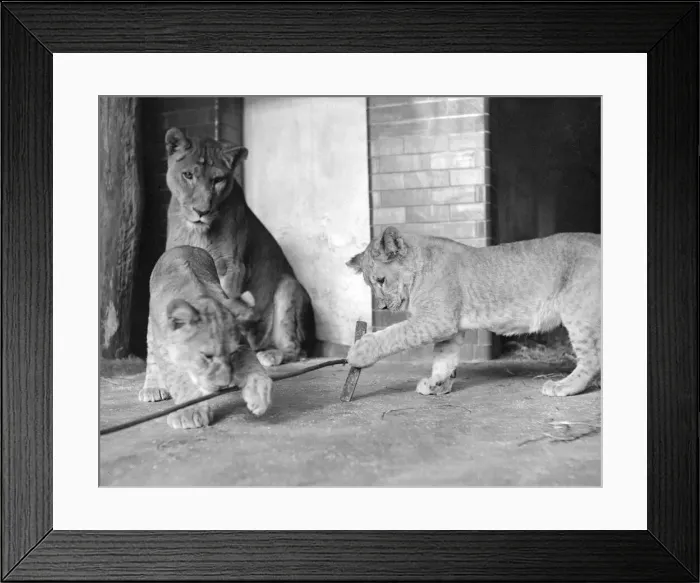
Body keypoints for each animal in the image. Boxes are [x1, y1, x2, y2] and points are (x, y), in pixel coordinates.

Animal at [139, 245, 273, 429]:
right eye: (207, 356)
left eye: (232, 354)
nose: (223, 384)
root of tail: (183, 246)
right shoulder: (166, 349)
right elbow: (180, 379)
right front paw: (191, 411)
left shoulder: (241, 341)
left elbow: (252, 364)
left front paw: (259, 393)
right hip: (152, 329)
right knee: (151, 357)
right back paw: (152, 389)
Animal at [161, 126, 316, 368]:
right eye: (188, 175)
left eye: (217, 180)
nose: (201, 211)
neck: (197, 231)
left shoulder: (231, 266)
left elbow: (225, 302)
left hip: (287, 285)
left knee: (296, 350)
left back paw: (269, 356)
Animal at [346, 226, 601, 398]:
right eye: (369, 284)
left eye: (381, 280)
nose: (382, 307)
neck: (419, 270)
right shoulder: (449, 328)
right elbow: (443, 358)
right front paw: (436, 383)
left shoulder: (437, 319)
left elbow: (395, 334)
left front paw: (359, 352)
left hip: (577, 311)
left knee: (592, 359)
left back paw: (563, 386)